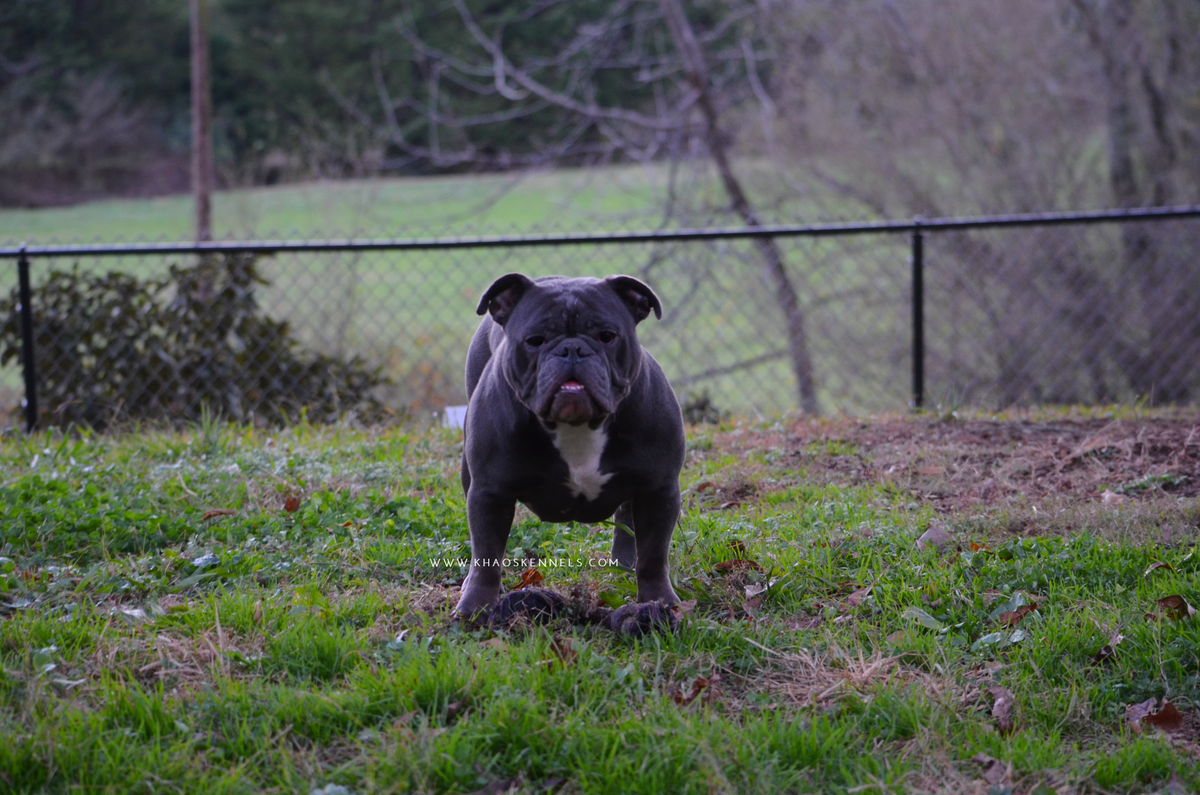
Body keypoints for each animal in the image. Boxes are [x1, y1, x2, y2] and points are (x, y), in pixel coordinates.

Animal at [456, 276, 686, 624]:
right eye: (535, 341)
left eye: (607, 336)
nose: (572, 349)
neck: (577, 425)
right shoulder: (489, 493)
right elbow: (486, 554)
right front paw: (476, 607)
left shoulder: (658, 490)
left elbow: (654, 554)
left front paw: (659, 601)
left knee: (627, 518)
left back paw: (623, 563)